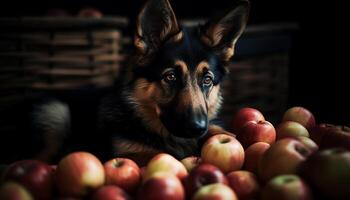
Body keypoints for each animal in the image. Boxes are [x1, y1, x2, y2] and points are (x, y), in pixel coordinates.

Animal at [2, 0, 249, 165]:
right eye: (170, 77)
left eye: (207, 80)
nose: (197, 128)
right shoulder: (122, 154)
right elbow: (163, 155)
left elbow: (223, 132)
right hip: (55, 113)